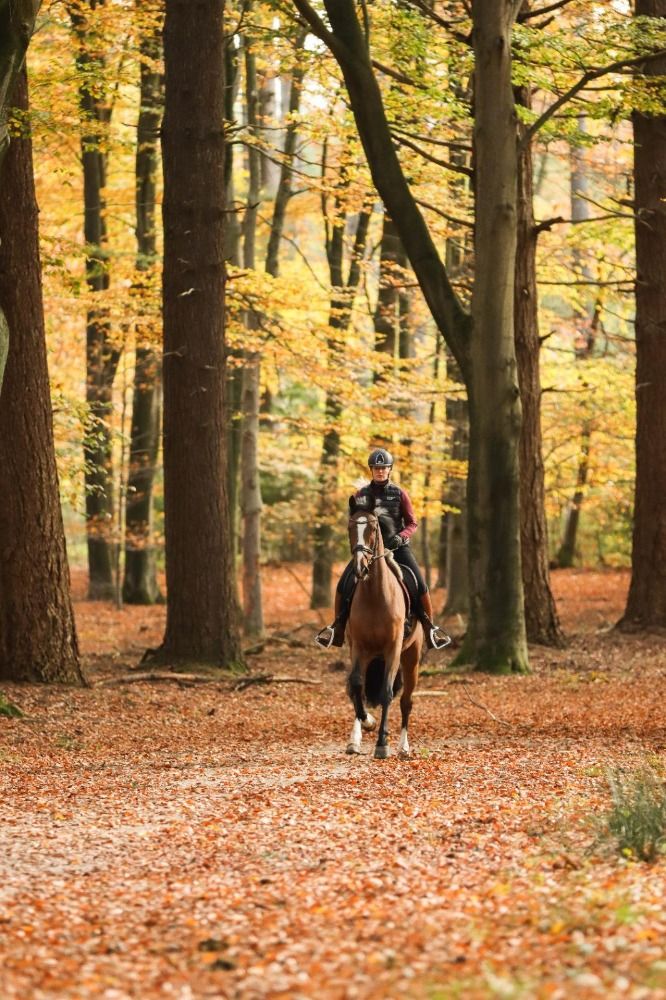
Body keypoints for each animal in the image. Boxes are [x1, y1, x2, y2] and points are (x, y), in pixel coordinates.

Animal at [344, 500, 424, 759]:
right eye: (350, 527)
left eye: (372, 528)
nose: (360, 567)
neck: (375, 595)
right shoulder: (359, 647)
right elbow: (357, 686)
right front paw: (367, 722)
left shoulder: (393, 649)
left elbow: (386, 693)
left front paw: (382, 743)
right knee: (356, 688)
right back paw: (355, 740)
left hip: (410, 658)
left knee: (406, 701)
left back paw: (403, 747)